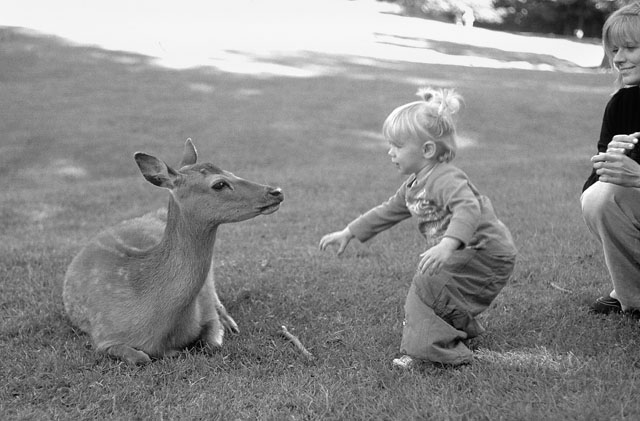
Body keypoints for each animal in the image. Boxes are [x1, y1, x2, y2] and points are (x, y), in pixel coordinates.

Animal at [63, 139, 282, 362]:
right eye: (219, 184)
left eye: (231, 172)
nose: (276, 191)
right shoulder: (103, 335)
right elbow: (141, 357)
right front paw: (171, 352)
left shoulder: (205, 308)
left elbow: (212, 343)